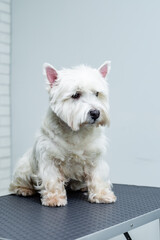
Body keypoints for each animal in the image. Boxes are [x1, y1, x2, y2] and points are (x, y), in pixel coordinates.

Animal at [9, 61, 116, 206]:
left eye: (97, 94)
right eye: (75, 95)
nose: (95, 113)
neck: (77, 132)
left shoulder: (96, 157)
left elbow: (97, 176)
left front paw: (102, 195)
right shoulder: (49, 157)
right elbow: (52, 179)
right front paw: (54, 198)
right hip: (24, 167)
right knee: (17, 182)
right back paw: (24, 189)